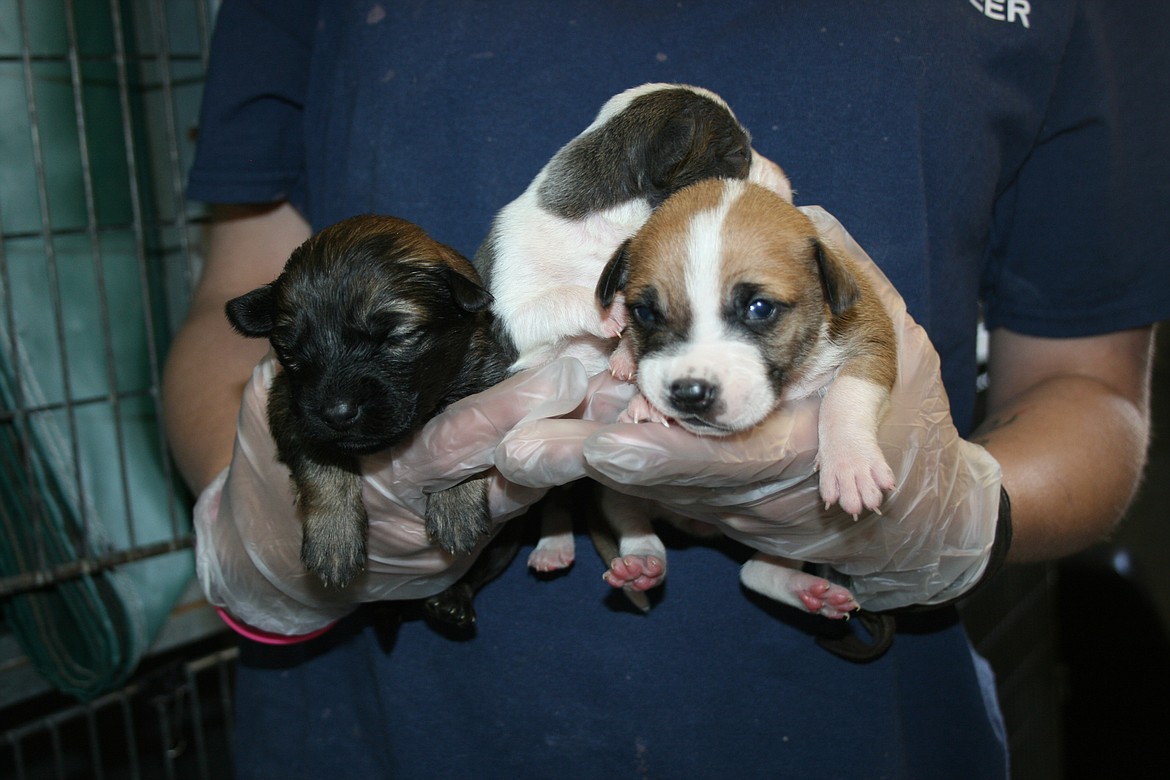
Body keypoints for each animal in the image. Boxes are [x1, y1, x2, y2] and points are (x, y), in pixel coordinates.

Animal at [223, 211, 507, 598]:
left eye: (395, 338)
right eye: (289, 352)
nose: (337, 414)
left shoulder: (484, 376)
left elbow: (461, 438)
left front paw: (455, 504)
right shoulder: (290, 408)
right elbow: (321, 459)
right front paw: (334, 539)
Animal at [599, 176, 898, 617]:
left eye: (759, 308)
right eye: (646, 313)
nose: (689, 393)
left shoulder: (873, 338)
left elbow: (847, 390)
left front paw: (850, 463)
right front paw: (637, 382)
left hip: (797, 536)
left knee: (758, 571)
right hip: (621, 489)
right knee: (629, 516)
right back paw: (641, 563)